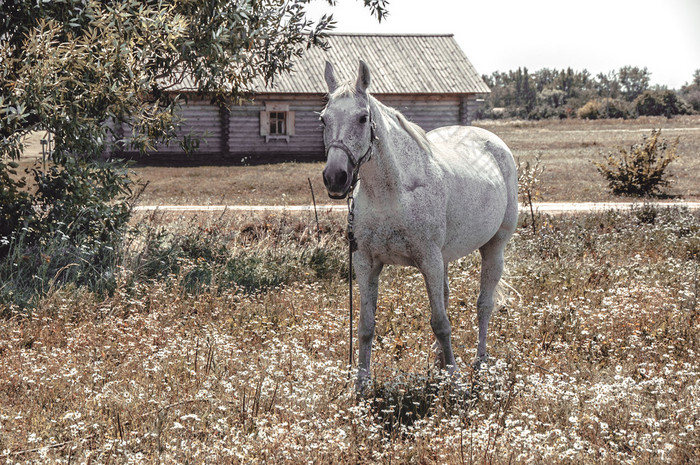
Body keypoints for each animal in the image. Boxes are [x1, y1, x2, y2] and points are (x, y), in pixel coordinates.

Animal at [320, 58, 516, 392]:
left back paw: (478, 363)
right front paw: (360, 386)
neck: (392, 194)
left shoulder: (429, 260)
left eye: (362, 118)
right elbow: (366, 325)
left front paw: (455, 381)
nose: (335, 178)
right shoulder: (366, 263)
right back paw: (440, 361)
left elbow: (441, 323)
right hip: (445, 259)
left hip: (493, 247)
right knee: (447, 297)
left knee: (484, 305)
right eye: (323, 119)